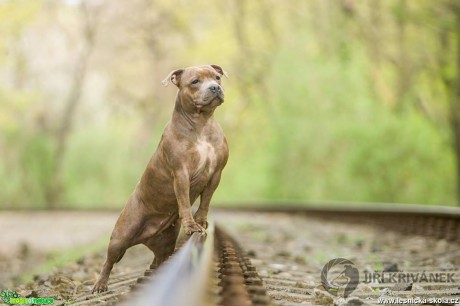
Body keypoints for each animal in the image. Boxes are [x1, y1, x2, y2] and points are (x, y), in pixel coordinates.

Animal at [91, 65, 228, 294]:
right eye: (195, 81)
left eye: (217, 77)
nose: (215, 87)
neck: (202, 124)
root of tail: (147, 236)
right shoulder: (181, 173)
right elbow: (184, 201)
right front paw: (191, 225)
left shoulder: (215, 174)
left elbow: (205, 201)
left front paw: (200, 221)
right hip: (120, 238)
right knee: (109, 261)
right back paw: (100, 284)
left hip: (165, 244)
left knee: (158, 260)